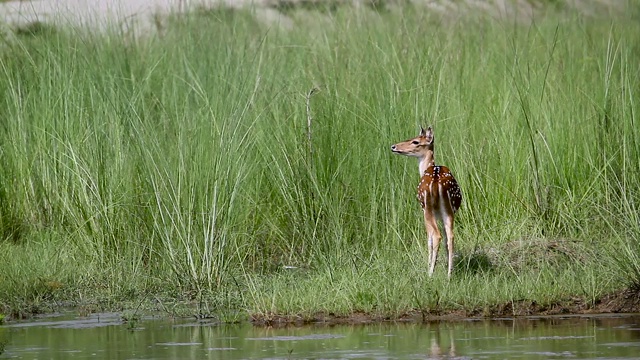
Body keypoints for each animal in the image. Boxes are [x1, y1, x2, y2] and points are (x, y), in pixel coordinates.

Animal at [390, 126, 460, 278]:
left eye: (415, 141)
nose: (393, 146)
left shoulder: (423, 210)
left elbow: (429, 239)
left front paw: (429, 266)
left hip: (427, 209)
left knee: (436, 235)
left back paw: (430, 273)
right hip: (449, 210)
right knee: (450, 236)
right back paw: (449, 274)